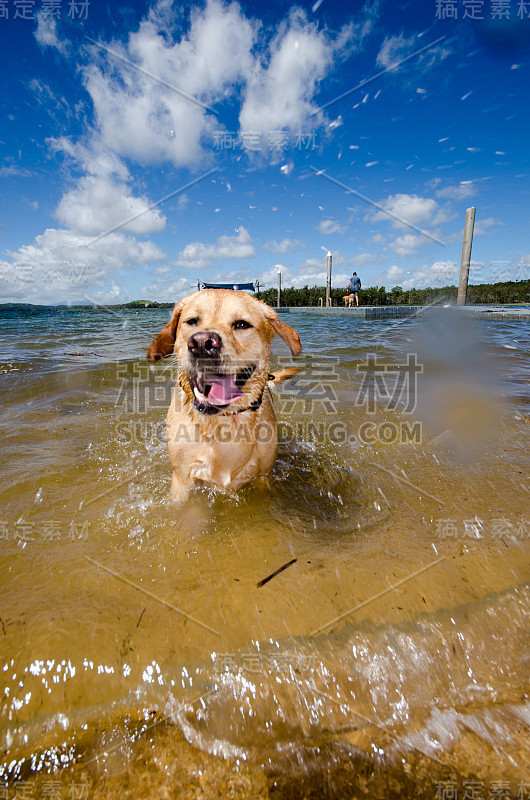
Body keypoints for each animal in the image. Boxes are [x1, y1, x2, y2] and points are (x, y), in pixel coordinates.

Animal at [146, 288, 300, 500]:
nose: (202, 343)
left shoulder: (263, 477)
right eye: (192, 321)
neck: (224, 420)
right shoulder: (182, 480)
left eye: (242, 324)